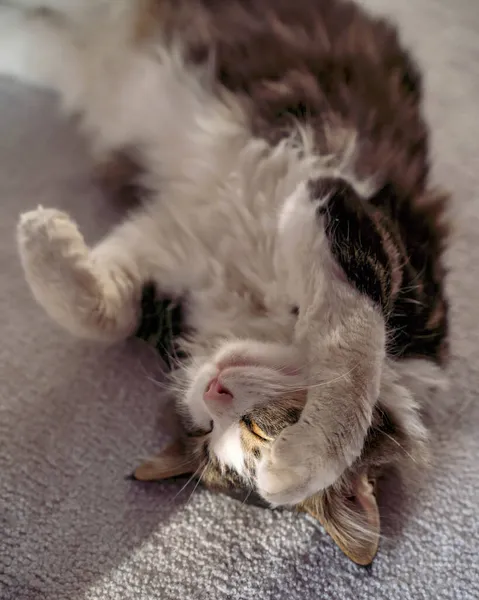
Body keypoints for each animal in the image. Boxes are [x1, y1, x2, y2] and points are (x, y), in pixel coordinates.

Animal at [0, 0, 450, 564]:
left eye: (227, 431)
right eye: (253, 430)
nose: (212, 388)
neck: (257, 309)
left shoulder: (175, 243)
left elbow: (109, 309)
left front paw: (45, 240)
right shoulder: (350, 213)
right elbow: (353, 350)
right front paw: (299, 462)